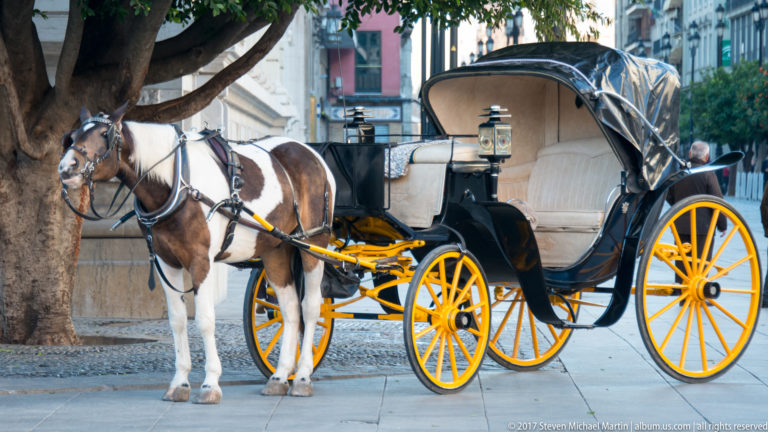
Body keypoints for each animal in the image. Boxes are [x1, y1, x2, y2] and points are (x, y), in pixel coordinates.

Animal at [57, 103, 335, 403]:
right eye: (72, 136)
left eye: (104, 135)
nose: (66, 167)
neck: (178, 181)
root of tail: (311, 153)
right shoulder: (166, 262)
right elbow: (178, 321)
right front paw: (179, 382)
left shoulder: (202, 261)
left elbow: (205, 320)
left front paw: (210, 383)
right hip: (276, 247)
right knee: (290, 308)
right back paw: (281, 376)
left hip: (313, 243)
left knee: (310, 307)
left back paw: (303, 376)